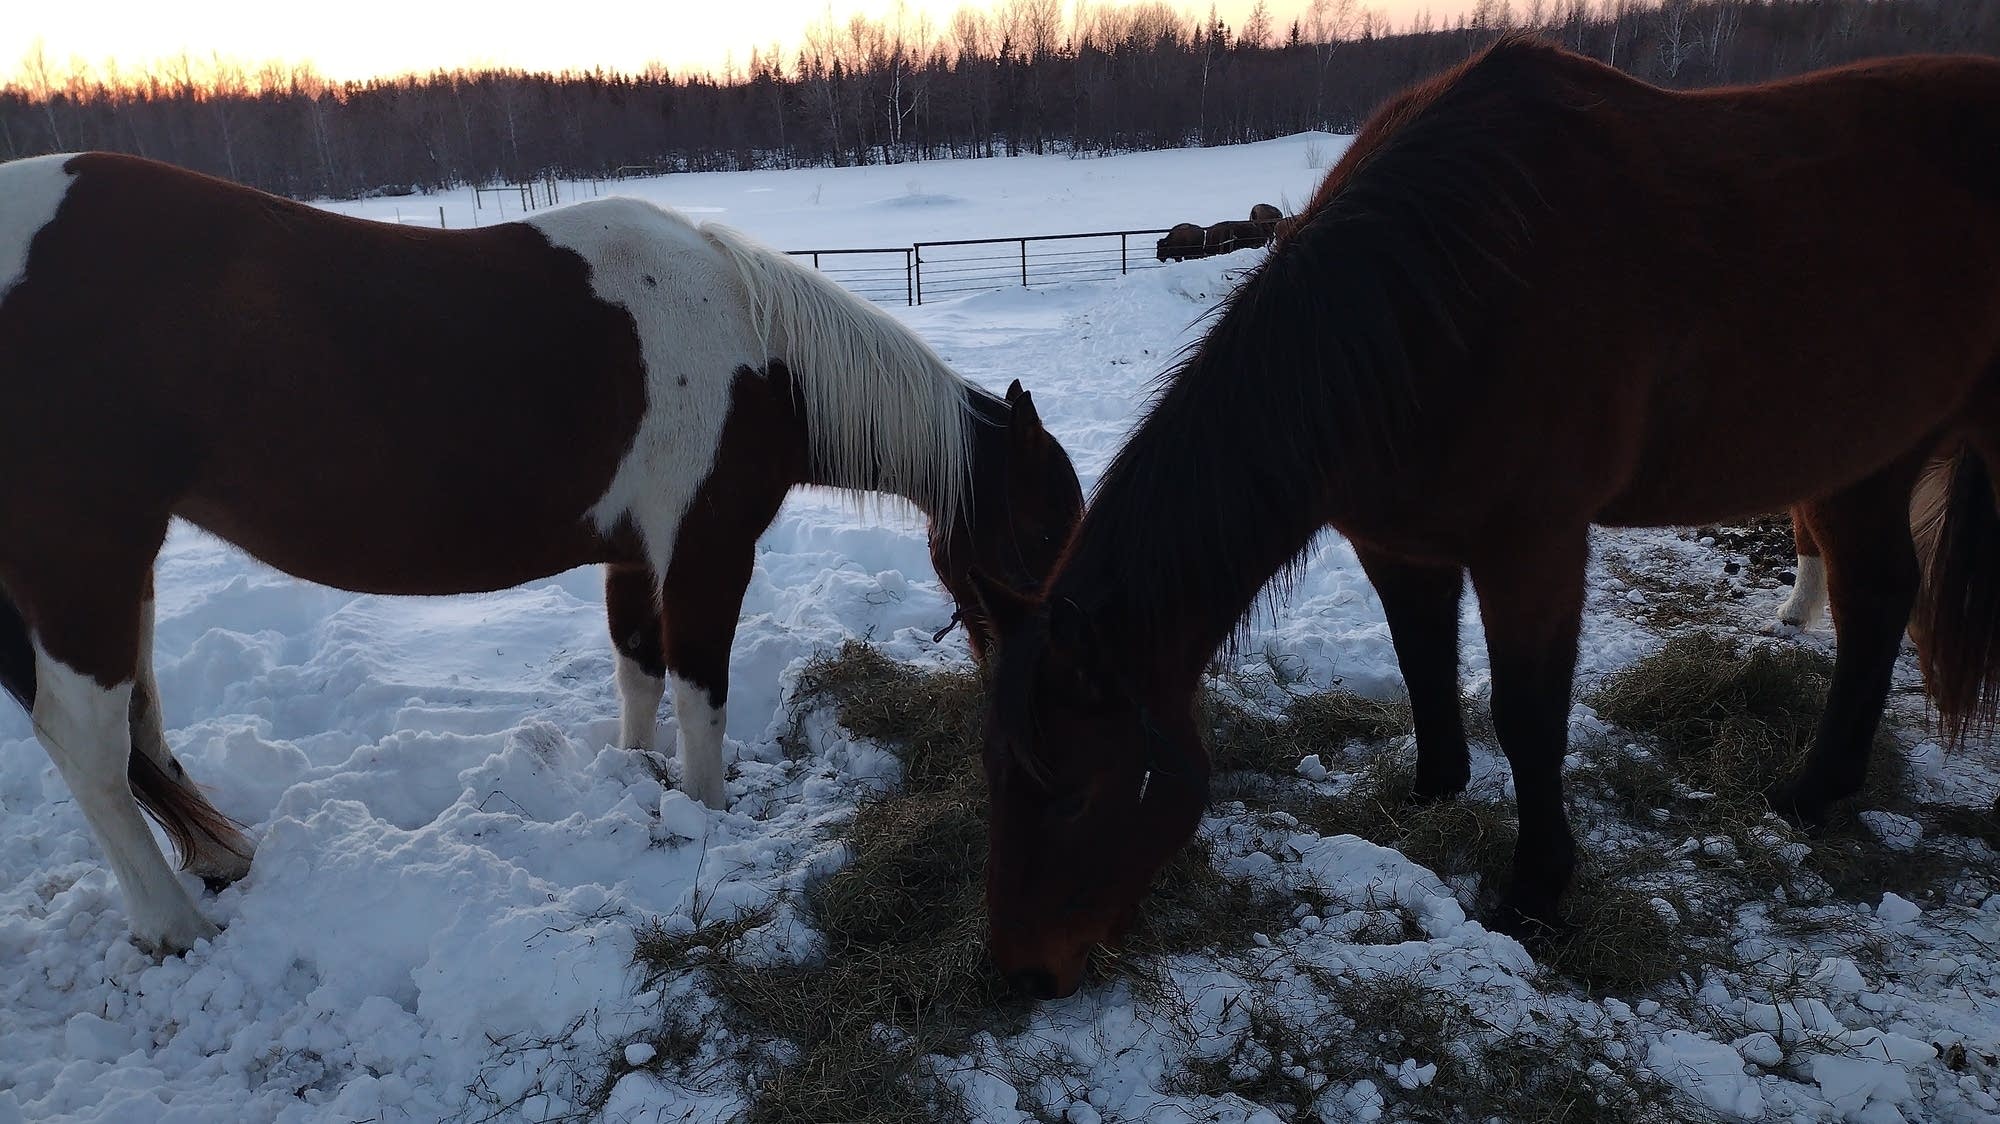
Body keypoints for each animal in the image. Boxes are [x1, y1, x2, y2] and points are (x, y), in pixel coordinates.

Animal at [0, 152, 1083, 954]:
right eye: (1044, 530)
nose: (1044, 690)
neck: (755, 349)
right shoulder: (706, 546)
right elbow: (700, 687)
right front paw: (708, 809)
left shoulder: (635, 553)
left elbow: (637, 669)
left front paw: (638, 775)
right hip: (84, 556)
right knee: (89, 742)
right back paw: (172, 924)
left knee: (139, 724)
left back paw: (219, 864)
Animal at [972, 36, 2000, 999]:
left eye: (1075, 793)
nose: (1023, 974)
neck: (1443, 300)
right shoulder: (1398, 544)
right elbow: (1424, 663)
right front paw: (1434, 792)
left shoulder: (1533, 547)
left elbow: (1528, 716)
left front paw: (1536, 896)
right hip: (1866, 458)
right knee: (1879, 599)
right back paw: (1816, 793)